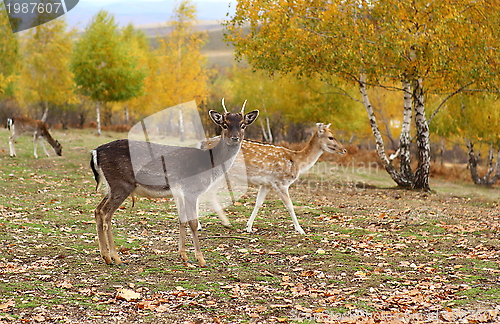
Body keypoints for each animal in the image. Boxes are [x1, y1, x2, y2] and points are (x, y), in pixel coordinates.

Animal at [90, 100, 260, 266]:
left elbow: (181, 221)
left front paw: (184, 257)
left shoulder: (179, 193)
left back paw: (106, 256)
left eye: (243, 125)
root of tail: (95, 152)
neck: (209, 165)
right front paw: (201, 260)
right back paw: (117, 258)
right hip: (121, 184)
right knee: (106, 214)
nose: (235, 138)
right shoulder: (191, 190)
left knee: (97, 210)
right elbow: (193, 222)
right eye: (225, 124)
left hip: (111, 186)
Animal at [201, 123, 346, 234]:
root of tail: (201, 144)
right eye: (331, 137)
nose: (344, 150)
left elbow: (258, 203)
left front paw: (248, 227)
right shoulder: (281, 182)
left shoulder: (266, 184)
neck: (297, 161)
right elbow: (290, 205)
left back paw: (225, 223)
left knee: (209, 193)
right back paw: (201, 226)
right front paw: (300, 230)